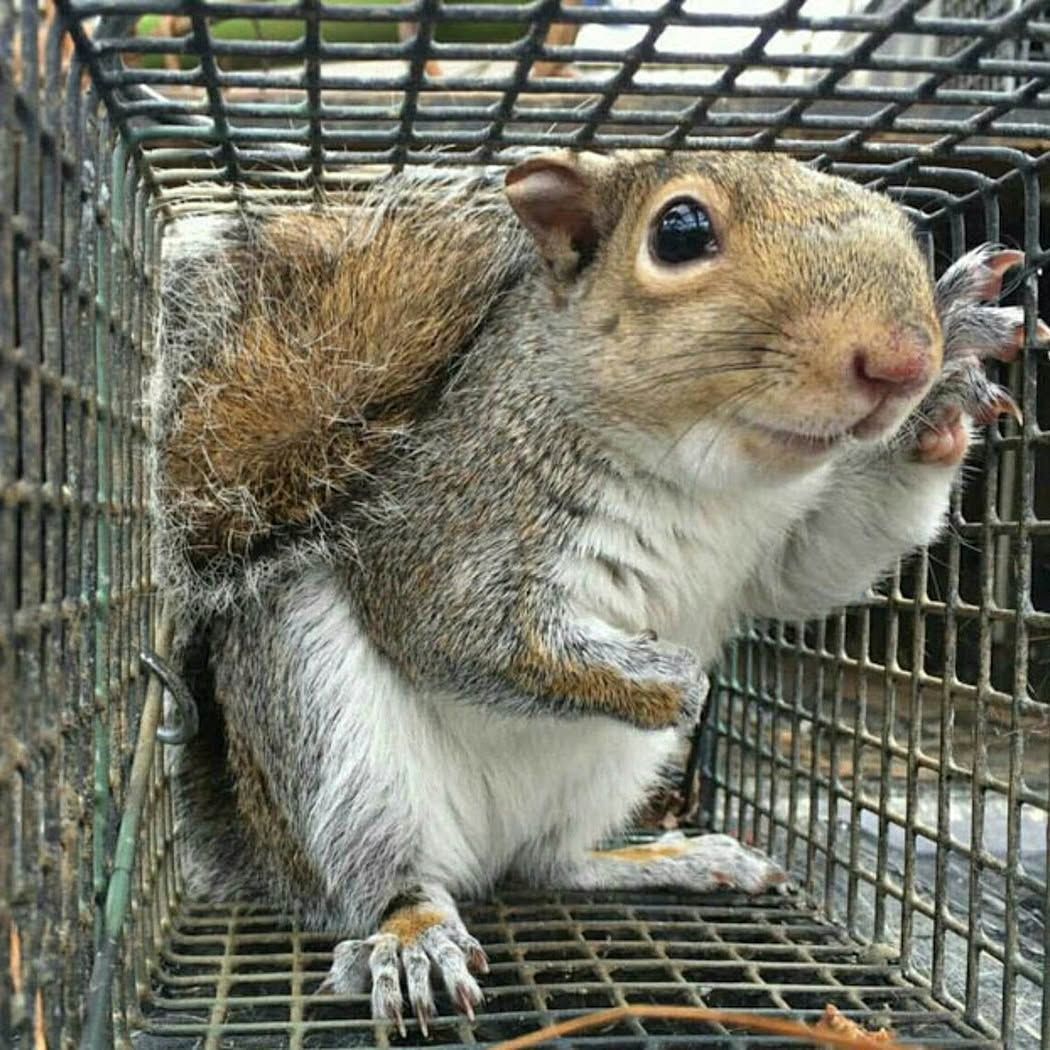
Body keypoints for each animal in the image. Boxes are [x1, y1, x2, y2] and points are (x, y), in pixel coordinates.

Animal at [151, 149, 1046, 1033]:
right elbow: (457, 633)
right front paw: (673, 681)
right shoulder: (448, 524)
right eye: (680, 231)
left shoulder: (778, 546)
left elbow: (821, 563)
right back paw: (414, 937)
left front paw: (948, 384)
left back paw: (677, 856)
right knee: (387, 875)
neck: (710, 477)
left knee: (547, 864)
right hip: (333, 737)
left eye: (902, 224)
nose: (902, 361)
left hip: (609, 774)